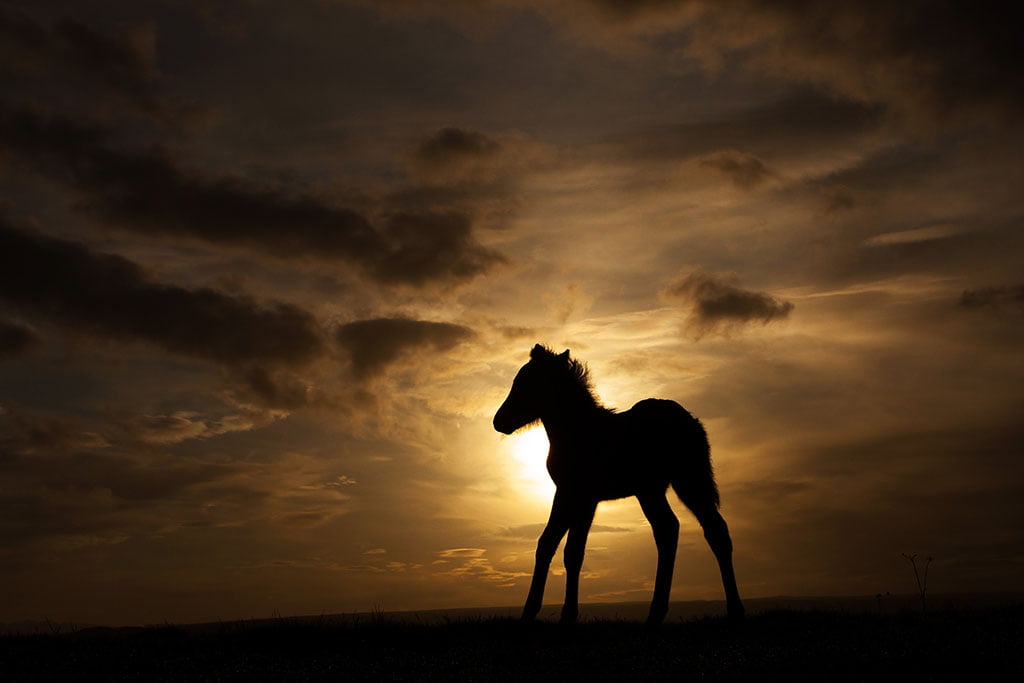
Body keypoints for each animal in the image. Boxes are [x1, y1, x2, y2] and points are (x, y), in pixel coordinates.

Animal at [493, 344, 744, 624]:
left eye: (526, 382)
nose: (498, 421)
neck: (577, 431)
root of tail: (692, 422)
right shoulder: (577, 497)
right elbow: (559, 548)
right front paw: (545, 612)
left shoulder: (576, 495)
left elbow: (563, 549)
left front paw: (557, 614)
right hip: (669, 486)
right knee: (692, 529)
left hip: (671, 485)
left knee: (691, 530)